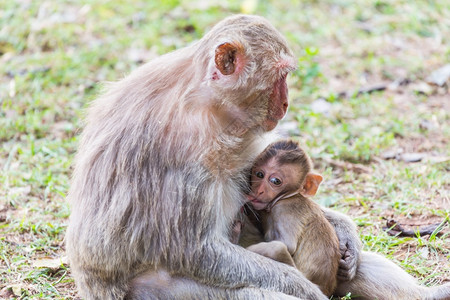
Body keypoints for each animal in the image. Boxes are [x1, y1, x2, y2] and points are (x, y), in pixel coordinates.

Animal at [67, 15, 360, 298]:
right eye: (281, 76)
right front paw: (302, 287)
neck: (207, 104)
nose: (286, 102)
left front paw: (346, 232)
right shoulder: (182, 153)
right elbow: (194, 252)